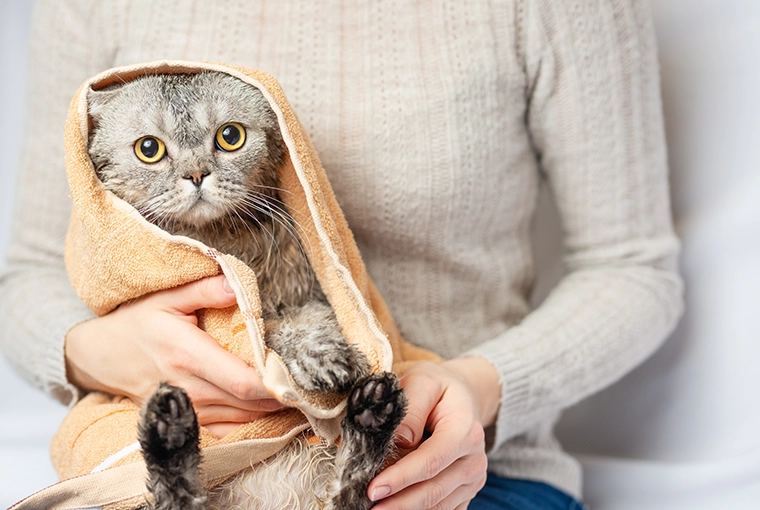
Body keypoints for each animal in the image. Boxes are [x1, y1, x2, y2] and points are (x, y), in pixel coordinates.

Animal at [86, 70, 406, 510]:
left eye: (230, 136)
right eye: (148, 149)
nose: (197, 175)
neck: (220, 239)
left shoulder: (309, 293)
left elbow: (307, 320)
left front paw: (323, 354)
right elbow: (267, 329)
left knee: (351, 490)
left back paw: (373, 414)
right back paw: (169, 432)